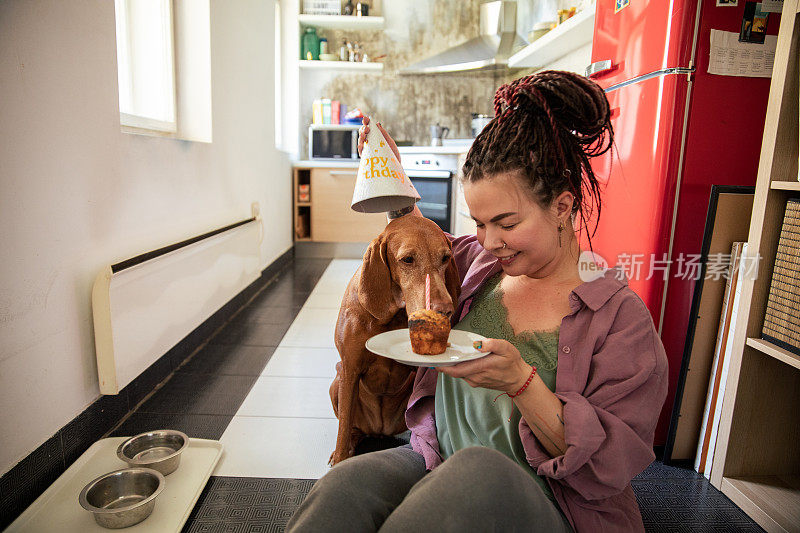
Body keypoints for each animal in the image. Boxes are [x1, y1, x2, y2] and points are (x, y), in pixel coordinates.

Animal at [328, 214, 460, 464]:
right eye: (407, 259)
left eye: (445, 258)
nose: (445, 310)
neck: (391, 315)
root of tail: (380, 429)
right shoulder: (350, 370)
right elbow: (342, 428)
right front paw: (340, 457)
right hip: (337, 383)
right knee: (351, 427)